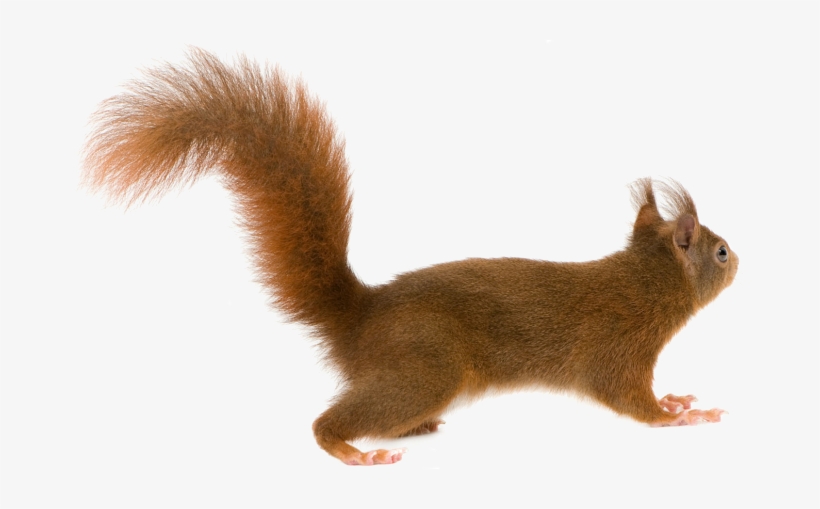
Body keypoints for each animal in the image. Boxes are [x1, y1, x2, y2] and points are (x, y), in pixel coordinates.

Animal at [83, 48, 739, 466]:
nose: (741, 258)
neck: (642, 282)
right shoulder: (616, 346)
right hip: (424, 368)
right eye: (721, 250)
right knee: (329, 420)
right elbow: (628, 398)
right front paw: (678, 416)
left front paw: (677, 400)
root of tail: (361, 318)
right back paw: (352, 451)